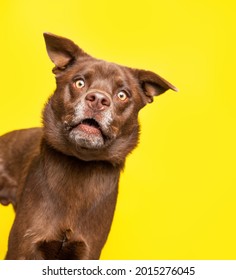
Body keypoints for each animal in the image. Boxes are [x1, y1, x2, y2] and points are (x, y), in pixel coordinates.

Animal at [0, 33, 177, 260]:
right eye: (79, 83)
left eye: (122, 95)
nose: (98, 99)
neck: (81, 162)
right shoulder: (22, 249)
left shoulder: (88, 251)